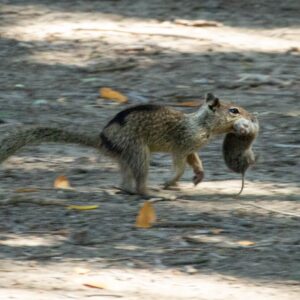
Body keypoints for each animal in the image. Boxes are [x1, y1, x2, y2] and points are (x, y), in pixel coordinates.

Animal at [0, 92, 258, 195]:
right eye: (234, 111)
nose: (254, 117)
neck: (201, 124)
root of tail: (102, 140)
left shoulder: (191, 148)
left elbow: (195, 161)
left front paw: (198, 176)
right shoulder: (181, 144)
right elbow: (179, 165)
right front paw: (170, 181)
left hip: (126, 156)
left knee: (125, 182)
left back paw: (128, 188)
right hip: (138, 151)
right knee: (140, 184)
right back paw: (155, 193)